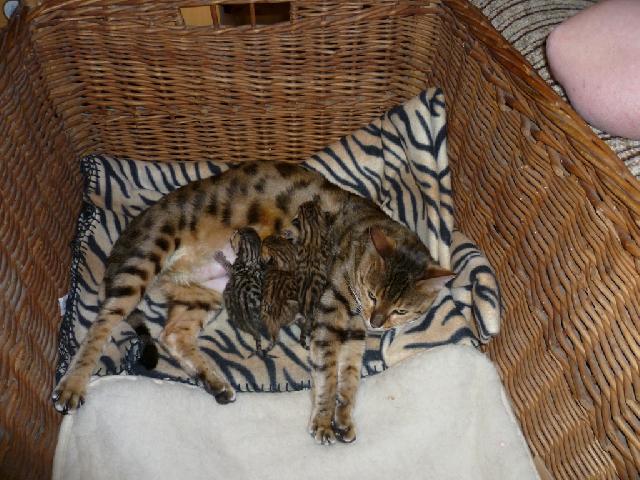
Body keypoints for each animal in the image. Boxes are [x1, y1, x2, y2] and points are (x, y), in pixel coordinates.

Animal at [215, 227, 266, 356]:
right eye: (249, 229)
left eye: (237, 235)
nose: (237, 229)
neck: (252, 258)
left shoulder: (234, 269)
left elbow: (227, 266)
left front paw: (220, 258)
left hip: (228, 297)